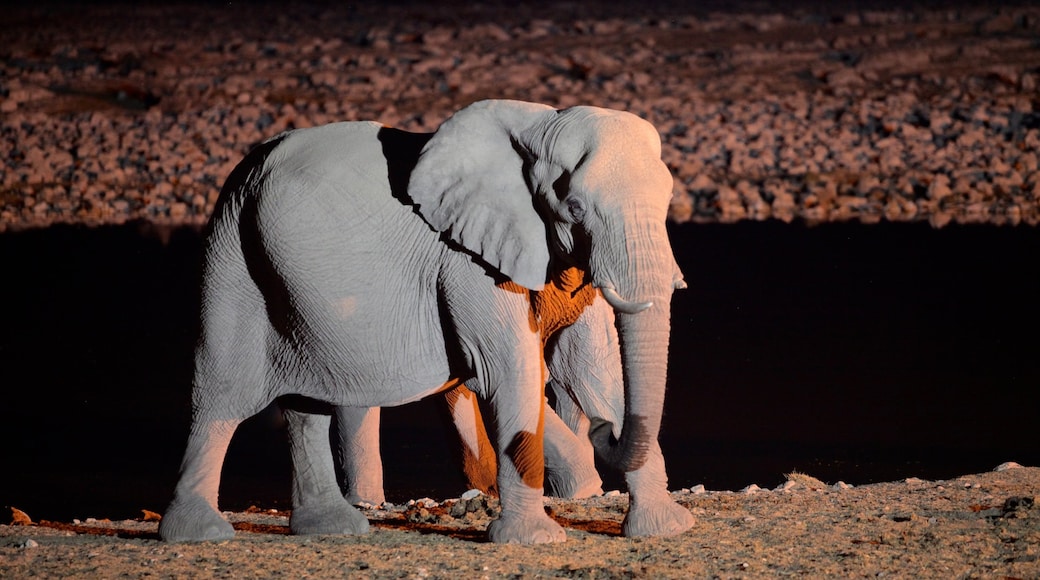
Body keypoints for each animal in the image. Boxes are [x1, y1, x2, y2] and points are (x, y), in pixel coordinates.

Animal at [158, 97, 686, 548]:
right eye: (574, 207)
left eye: (668, 201)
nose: (602, 430)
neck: (541, 126)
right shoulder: (466, 261)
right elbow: (508, 370)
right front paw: (534, 540)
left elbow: (593, 367)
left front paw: (663, 528)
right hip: (232, 250)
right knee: (222, 392)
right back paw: (199, 534)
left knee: (306, 402)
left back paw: (331, 528)